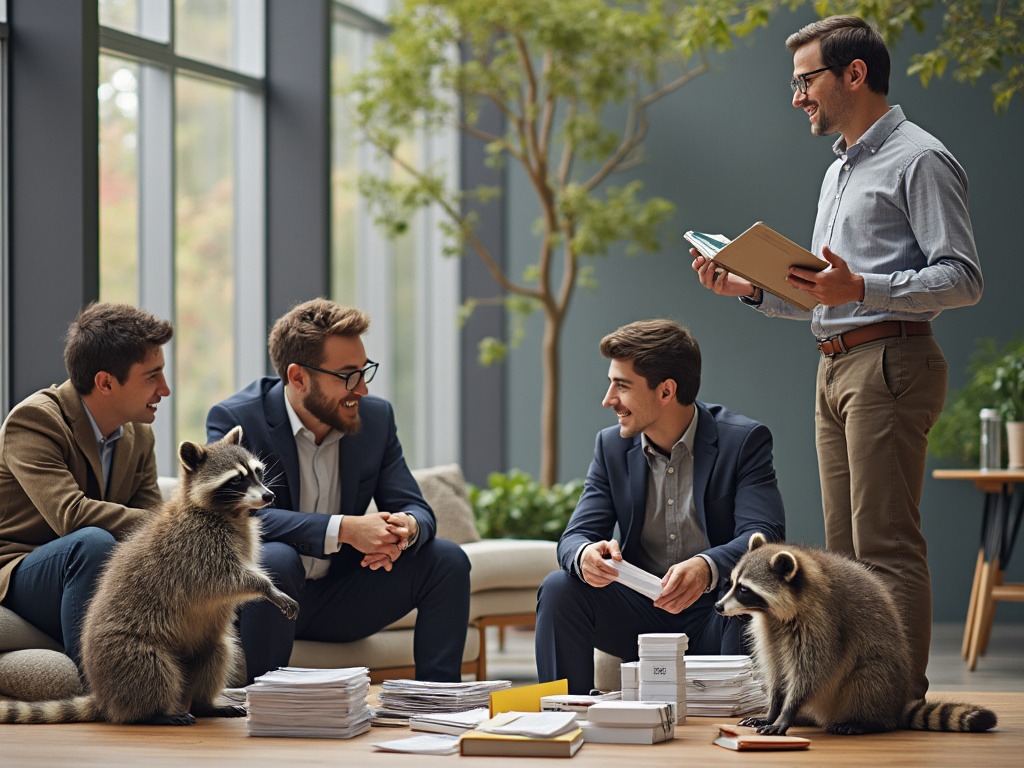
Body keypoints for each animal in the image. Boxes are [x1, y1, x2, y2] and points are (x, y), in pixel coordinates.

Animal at [0, 428, 299, 729]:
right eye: (237, 479)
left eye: (257, 472)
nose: (269, 496)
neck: (231, 512)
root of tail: (105, 696)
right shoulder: (195, 546)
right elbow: (225, 577)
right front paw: (266, 587)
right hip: (129, 647)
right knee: (151, 670)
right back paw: (154, 712)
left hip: (204, 643)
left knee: (219, 652)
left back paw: (204, 704)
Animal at [716, 532, 995, 737]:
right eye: (732, 583)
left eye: (743, 589)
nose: (718, 606)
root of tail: (896, 704)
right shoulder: (769, 629)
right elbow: (777, 670)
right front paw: (773, 709)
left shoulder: (823, 621)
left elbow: (813, 671)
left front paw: (787, 712)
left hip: (879, 676)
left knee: (868, 677)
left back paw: (866, 721)